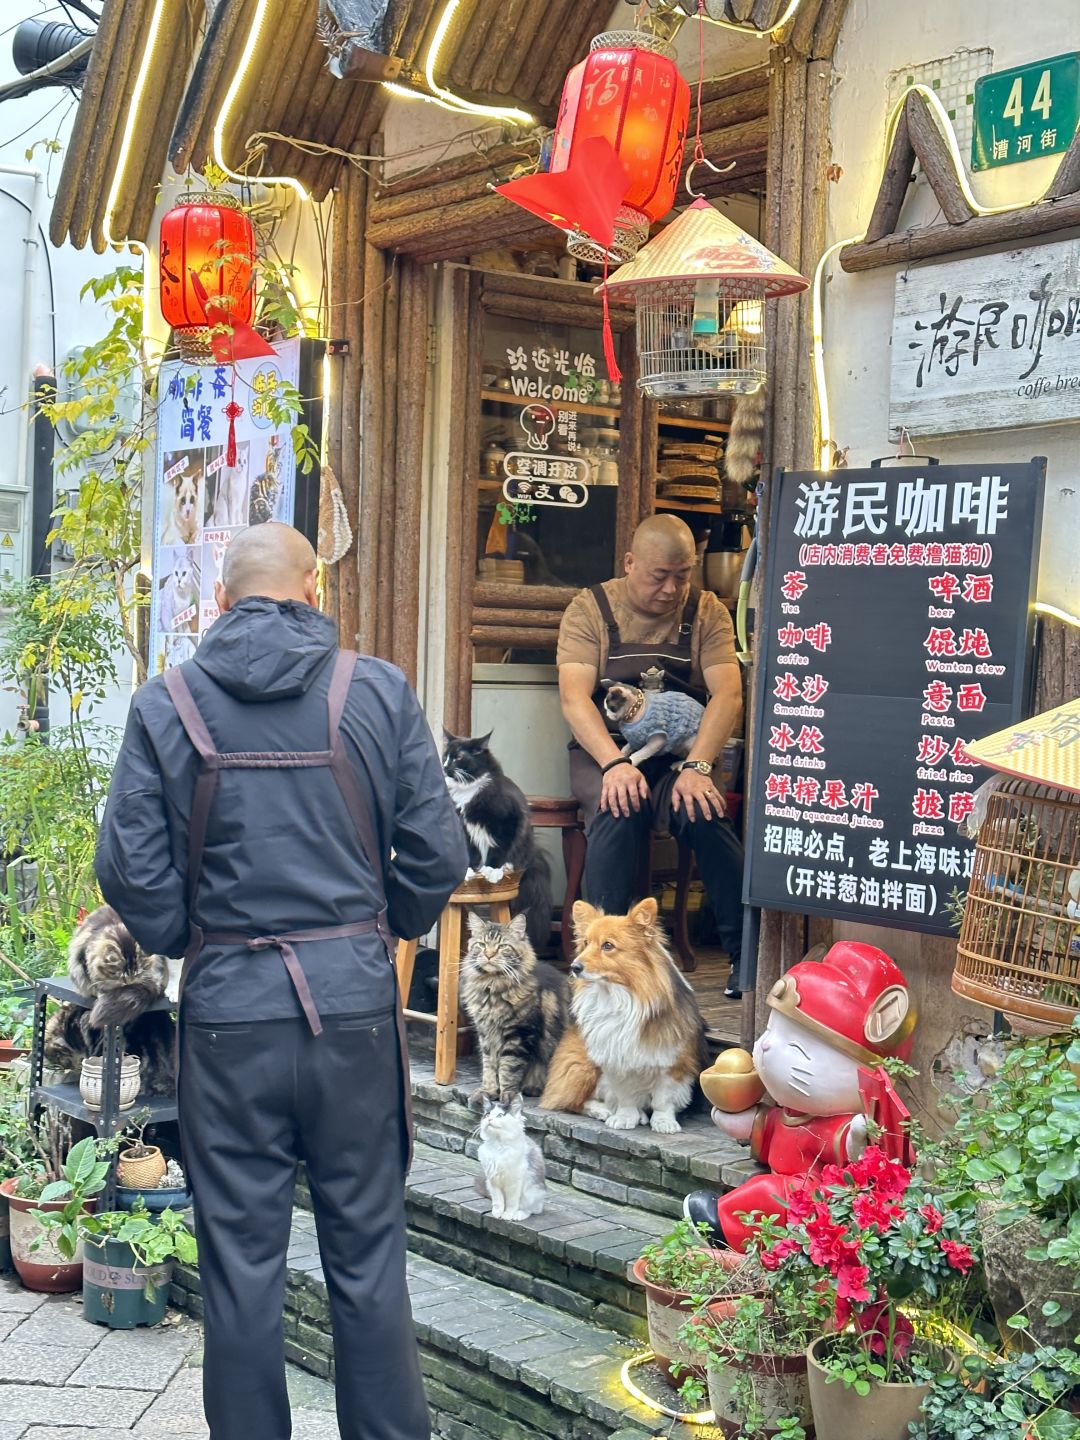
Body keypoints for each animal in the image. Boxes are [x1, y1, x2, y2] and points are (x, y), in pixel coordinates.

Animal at [443, 731, 552, 956]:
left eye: (458, 757)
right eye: (445, 756)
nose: (445, 767)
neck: (469, 790)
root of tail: (534, 851)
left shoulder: (508, 823)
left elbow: (499, 850)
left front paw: (492, 870)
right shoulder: (465, 830)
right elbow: (470, 853)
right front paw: (468, 871)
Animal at [460, 915, 570, 1105]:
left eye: (503, 946)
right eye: (481, 944)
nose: (489, 955)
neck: (492, 986)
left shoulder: (518, 1034)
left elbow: (508, 1067)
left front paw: (508, 1096)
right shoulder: (486, 1034)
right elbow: (489, 1067)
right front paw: (488, 1092)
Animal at [541, 898, 711, 1134]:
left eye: (607, 946)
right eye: (585, 943)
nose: (574, 967)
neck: (617, 996)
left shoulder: (673, 1061)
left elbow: (663, 1098)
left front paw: (664, 1122)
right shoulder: (615, 1059)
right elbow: (625, 1095)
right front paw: (624, 1118)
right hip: (584, 1066)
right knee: (572, 1101)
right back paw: (604, 1111)